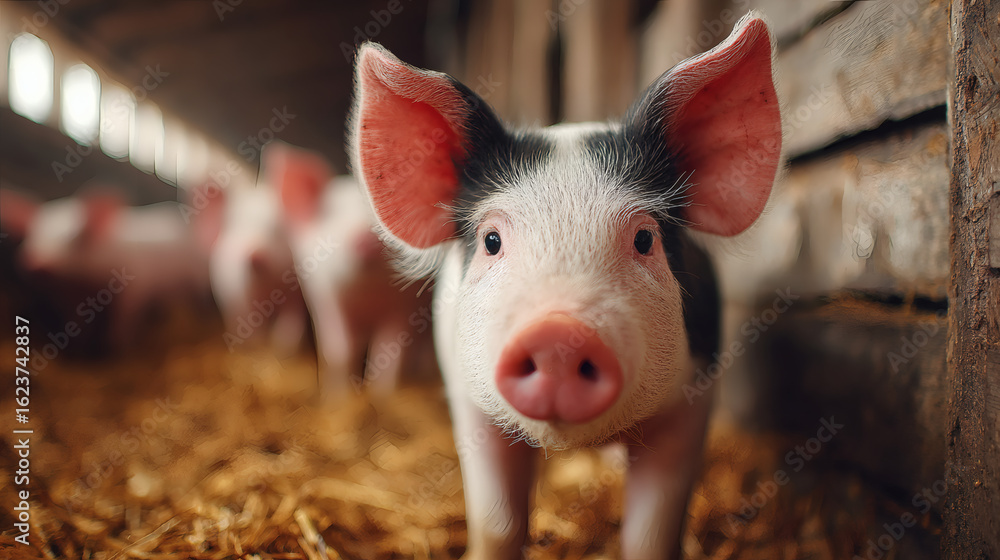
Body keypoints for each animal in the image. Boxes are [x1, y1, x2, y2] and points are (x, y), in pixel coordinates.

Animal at [268, 142, 433, 398]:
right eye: (329, 212)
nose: (365, 236)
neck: (366, 297)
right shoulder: (327, 298)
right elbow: (341, 349)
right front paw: (339, 396)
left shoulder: (407, 307)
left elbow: (390, 348)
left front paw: (382, 394)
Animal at [348, 13, 781, 559]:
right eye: (491, 240)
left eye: (644, 239)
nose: (558, 334)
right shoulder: (469, 404)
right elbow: (497, 522)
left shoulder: (694, 401)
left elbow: (650, 533)